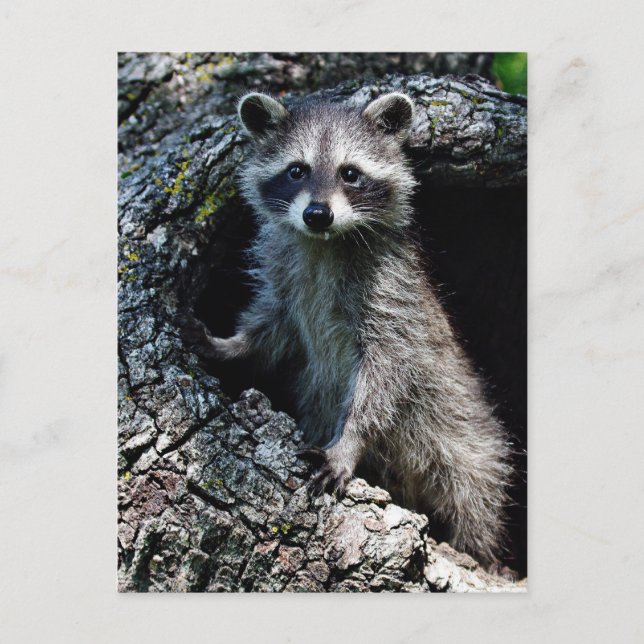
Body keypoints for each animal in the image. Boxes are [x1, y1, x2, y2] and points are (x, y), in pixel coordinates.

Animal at [188, 91, 513, 566]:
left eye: (350, 173)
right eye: (297, 170)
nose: (317, 214)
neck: (324, 244)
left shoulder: (391, 295)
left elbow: (386, 374)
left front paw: (349, 440)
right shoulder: (286, 281)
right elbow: (271, 330)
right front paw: (229, 346)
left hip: (467, 443)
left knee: (474, 495)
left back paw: (478, 550)